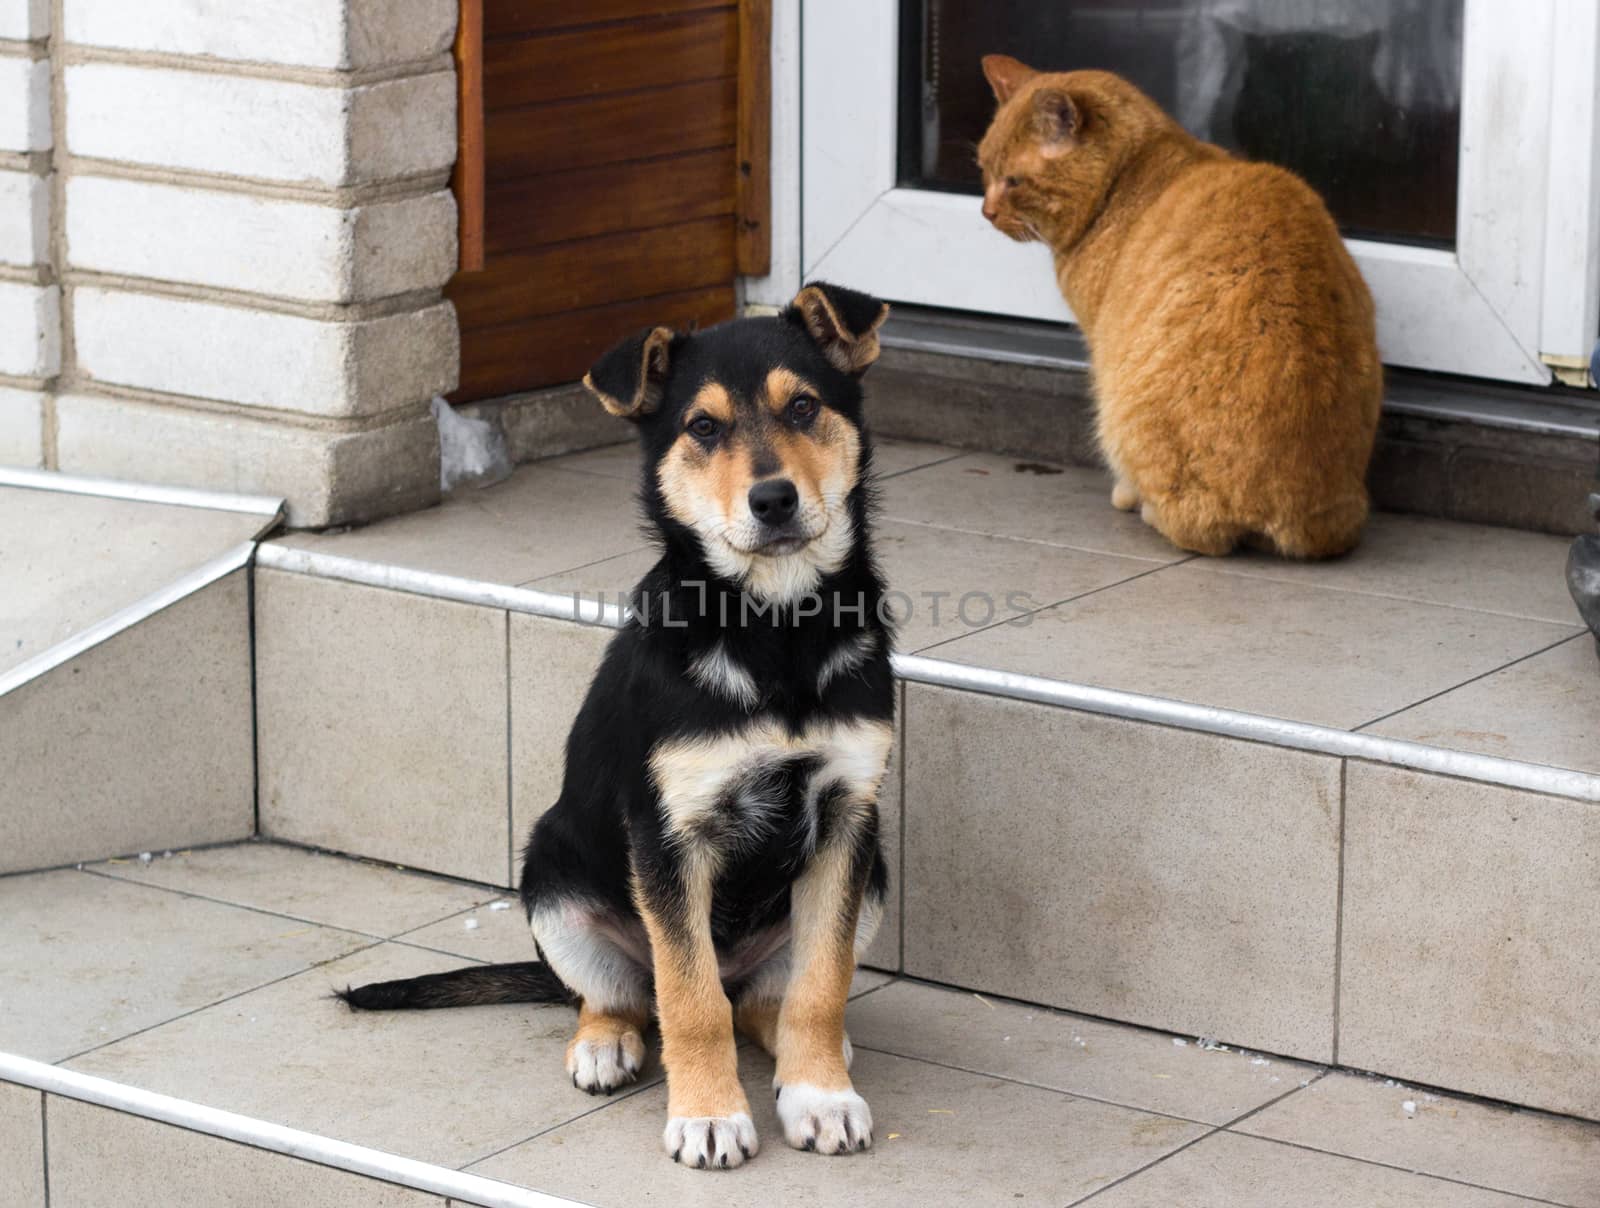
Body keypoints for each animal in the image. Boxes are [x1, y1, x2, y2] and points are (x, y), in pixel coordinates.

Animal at [342, 283, 902, 1171]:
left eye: (805, 407)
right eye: (703, 428)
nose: (773, 500)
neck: (774, 630)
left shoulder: (849, 817)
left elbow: (821, 985)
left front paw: (820, 1096)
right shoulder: (667, 833)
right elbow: (687, 997)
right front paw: (709, 1116)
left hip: (869, 875)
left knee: (757, 1001)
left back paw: (797, 1050)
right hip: (551, 880)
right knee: (632, 998)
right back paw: (605, 1044)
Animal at [966, 56, 1382, 556]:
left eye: (1013, 181)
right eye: (984, 169)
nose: (986, 211)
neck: (1131, 174)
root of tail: (1295, 515)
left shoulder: (1103, 349)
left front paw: (1125, 494)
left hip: (1123, 411)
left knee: (1193, 528)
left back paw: (1145, 508)